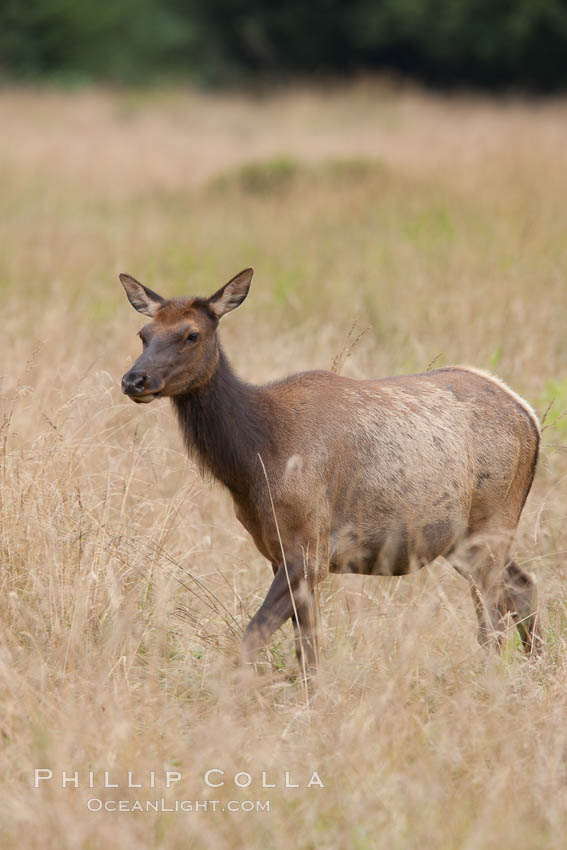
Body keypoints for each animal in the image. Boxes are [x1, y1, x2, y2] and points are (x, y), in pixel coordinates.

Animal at [120, 266, 540, 676]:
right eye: (144, 334)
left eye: (192, 334)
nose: (134, 380)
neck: (255, 460)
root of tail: (529, 415)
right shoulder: (278, 550)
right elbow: (308, 650)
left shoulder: (309, 547)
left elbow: (253, 638)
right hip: (463, 539)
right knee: (522, 586)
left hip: (491, 521)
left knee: (494, 615)